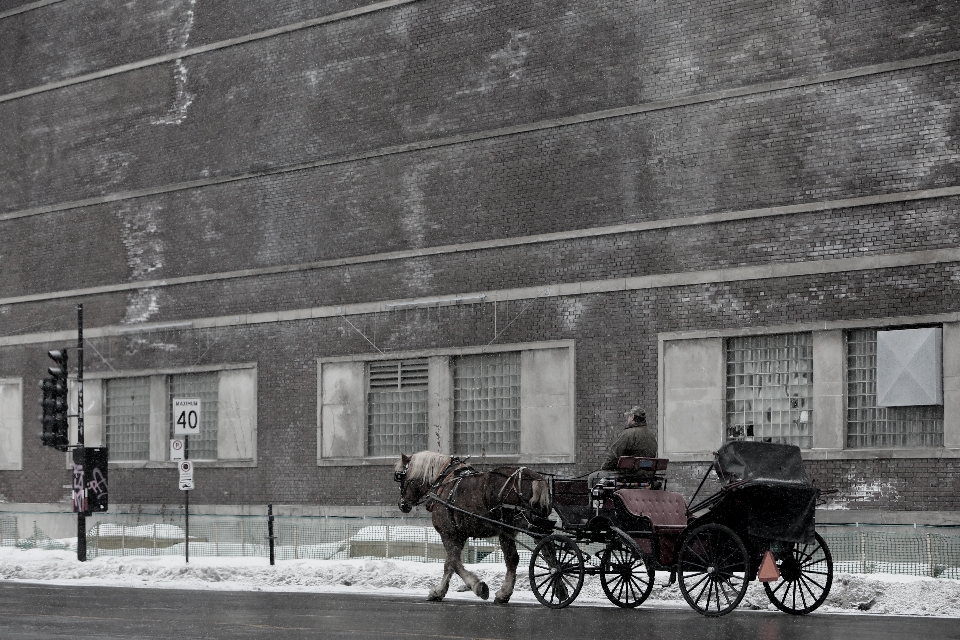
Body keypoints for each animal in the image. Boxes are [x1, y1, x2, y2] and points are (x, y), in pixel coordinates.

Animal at [394, 450, 552, 604]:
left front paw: (478, 587)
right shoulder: (460, 535)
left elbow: (453, 562)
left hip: (508, 529)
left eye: (401, 476)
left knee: (513, 559)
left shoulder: (448, 533)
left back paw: (504, 593)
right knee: (547, 552)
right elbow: (449, 564)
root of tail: (534, 478)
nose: (402, 504)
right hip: (534, 527)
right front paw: (439, 592)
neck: (443, 483)